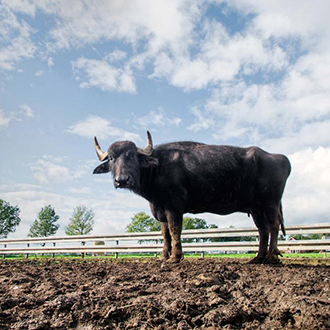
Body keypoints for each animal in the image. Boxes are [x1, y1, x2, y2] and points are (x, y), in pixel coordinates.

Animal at [93, 131, 292, 262]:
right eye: (111, 158)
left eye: (132, 155)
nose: (122, 180)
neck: (158, 167)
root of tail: (280, 158)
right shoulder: (160, 210)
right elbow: (165, 233)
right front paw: (163, 257)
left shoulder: (174, 206)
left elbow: (175, 230)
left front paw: (175, 257)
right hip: (257, 208)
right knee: (263, 230)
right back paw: (258, 258)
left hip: (270, 203)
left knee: (273, 225)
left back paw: (272, 257)